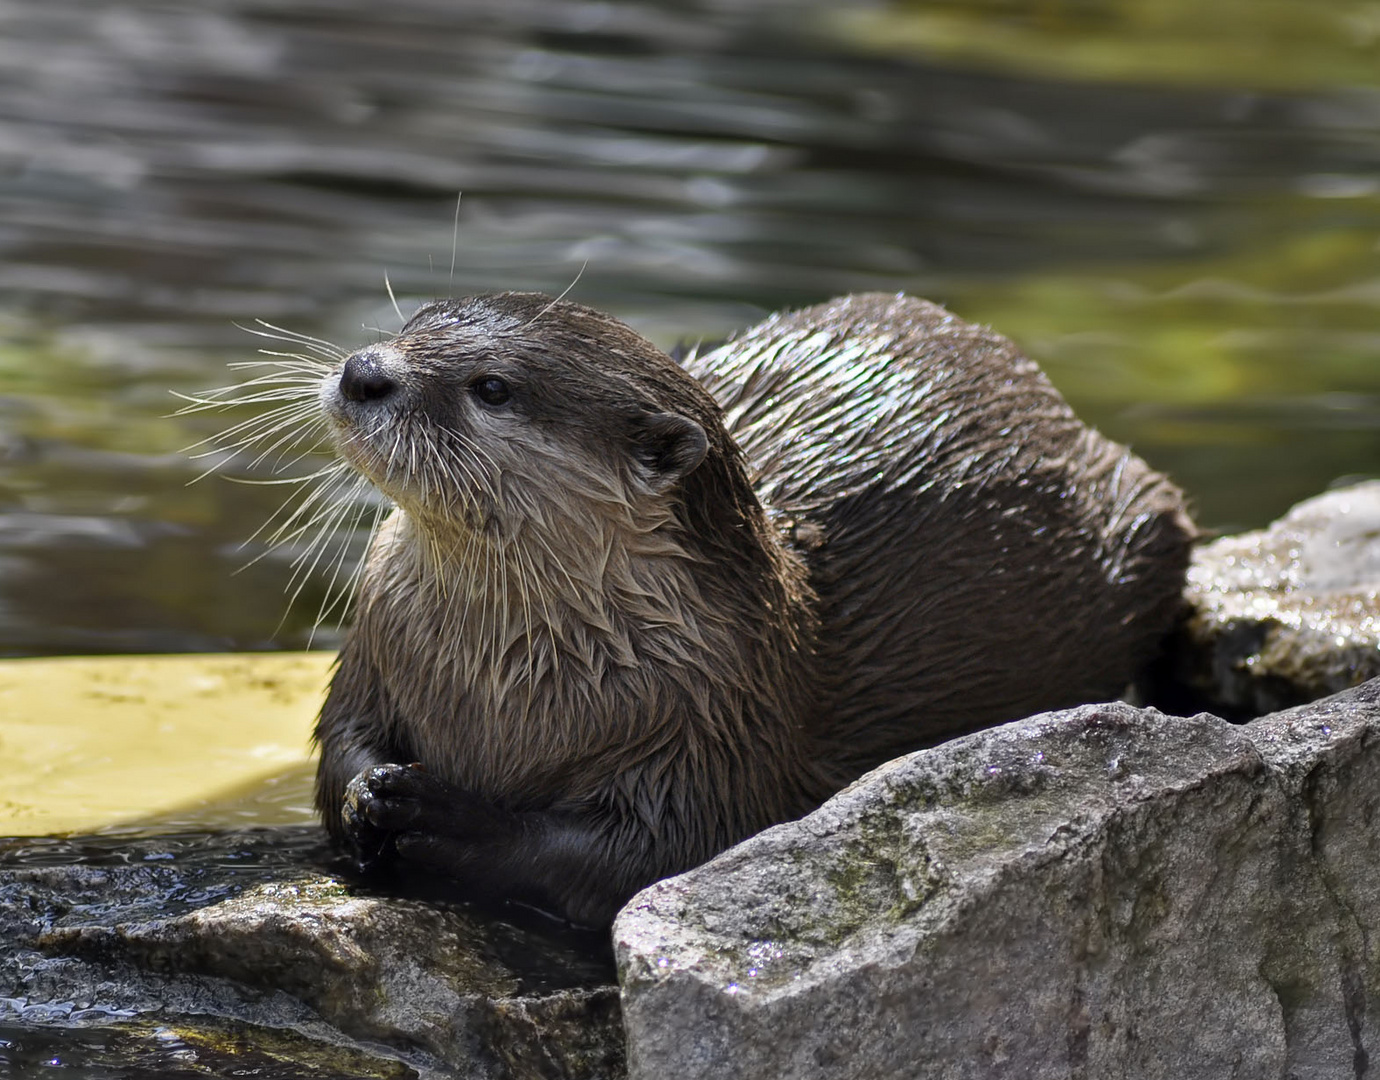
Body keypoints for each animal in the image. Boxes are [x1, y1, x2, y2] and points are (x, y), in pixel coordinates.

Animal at [313, 291, 1197, 926]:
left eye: (491, 388)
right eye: (411, 325)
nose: (364, 369)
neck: (498, 690)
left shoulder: (718, 723)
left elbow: (639, 857)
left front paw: (441, 814)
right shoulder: (374, 644)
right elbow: (339, 748)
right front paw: (367, 794)